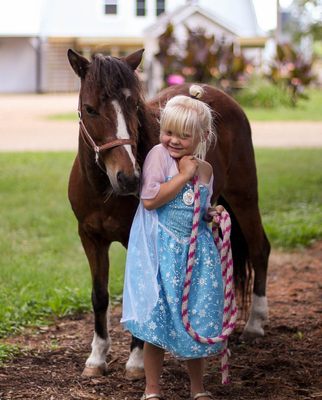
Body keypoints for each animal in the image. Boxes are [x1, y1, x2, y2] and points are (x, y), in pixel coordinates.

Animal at [67, 48, 270, 380]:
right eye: (90, 108)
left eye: (134, 105)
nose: (129, 178)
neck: (104, 191)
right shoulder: (90, 237)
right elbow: (99, 295)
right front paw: (97, 357)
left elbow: (141, 288)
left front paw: (137, 361)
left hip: (245, 197)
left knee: (259, 248)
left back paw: (255, 323)